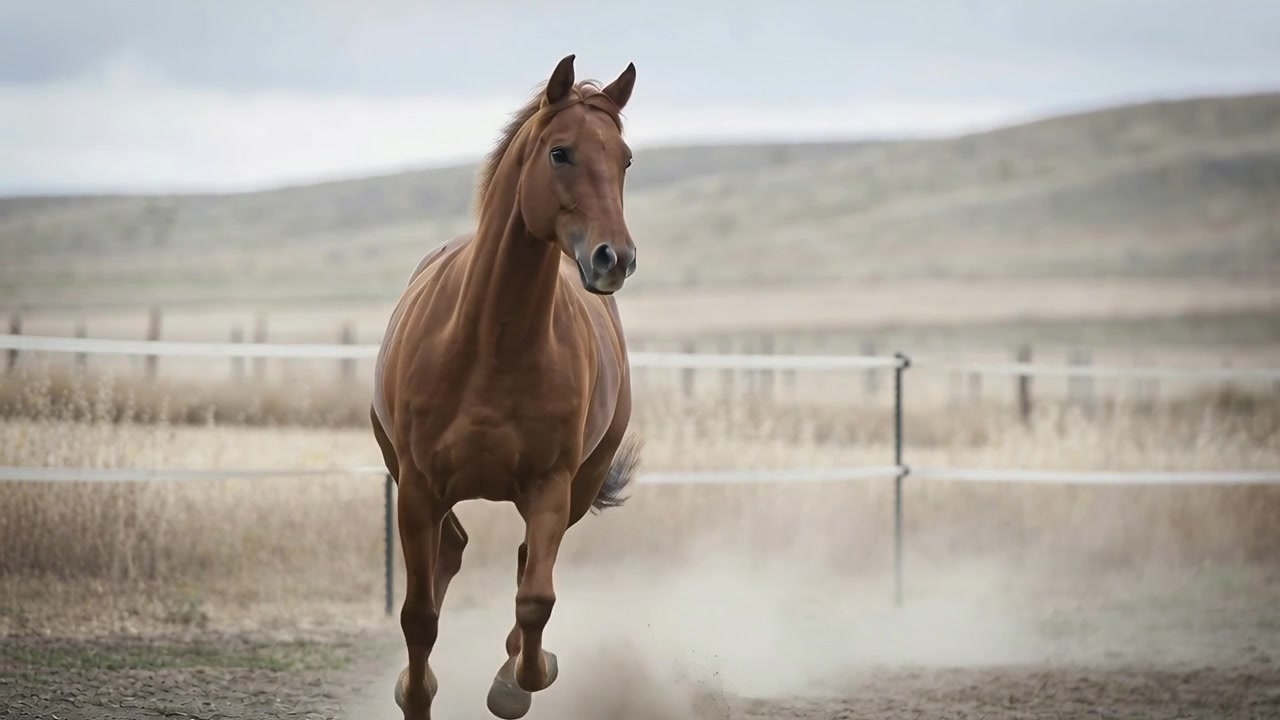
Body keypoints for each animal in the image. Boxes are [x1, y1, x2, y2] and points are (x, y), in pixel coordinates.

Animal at [370, 54, 644, 720]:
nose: (614, 259)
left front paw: (516, 684)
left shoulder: (550, 487)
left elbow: (535, 599)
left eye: (624, 159)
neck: (491, 345)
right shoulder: (416, 487)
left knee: (523, 567)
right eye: (561, 153)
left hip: (579, 487)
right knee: (451, 551)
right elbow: (418, 616)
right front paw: (415, 693)